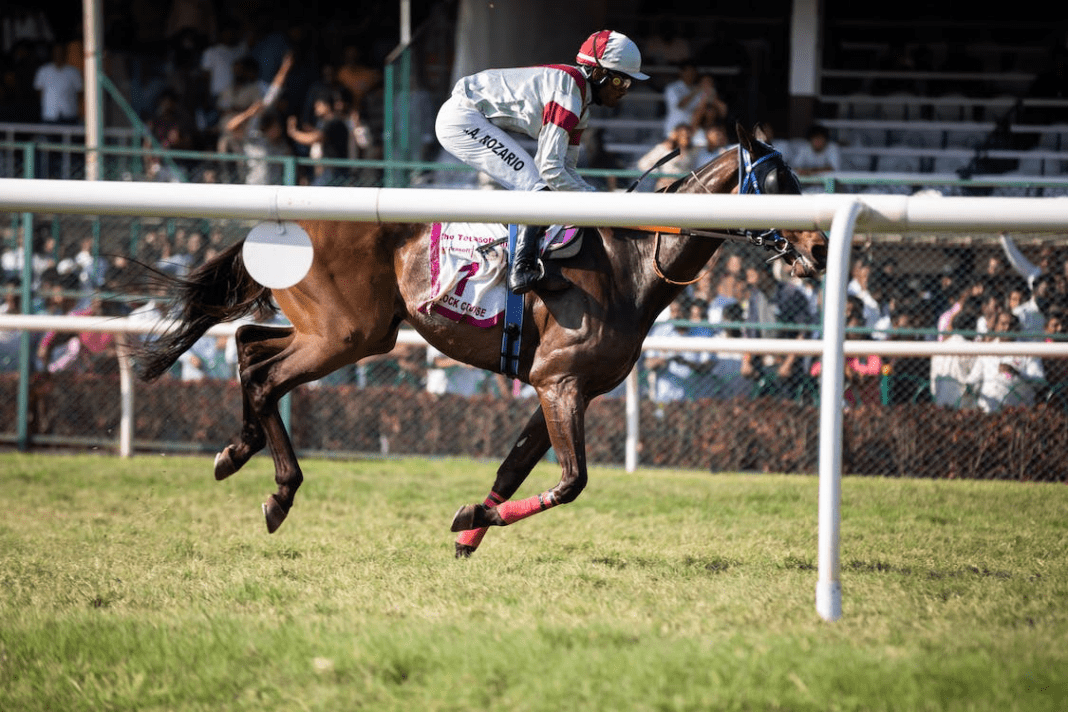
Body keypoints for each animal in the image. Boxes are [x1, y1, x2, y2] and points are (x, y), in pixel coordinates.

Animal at [136, 123, 828, 557]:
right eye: (778, 184)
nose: (821, 247)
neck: (630, 265)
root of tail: (287, 215)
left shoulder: (561, 387)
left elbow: (516, 466)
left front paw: (470, 530)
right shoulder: (559, 381)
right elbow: (571, 481)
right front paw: (472, 519)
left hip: (339, 330)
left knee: (250, 344)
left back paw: (237, 448)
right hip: (346, 335)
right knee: (265, 373)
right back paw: (279, 490)